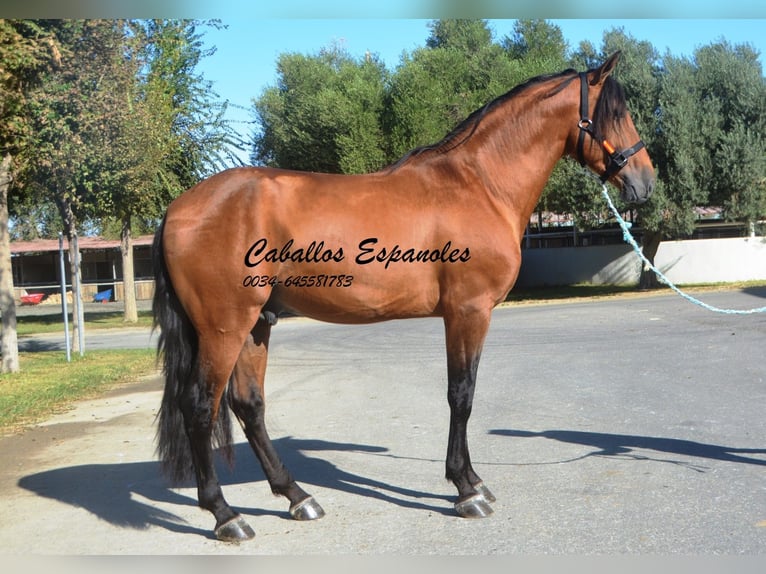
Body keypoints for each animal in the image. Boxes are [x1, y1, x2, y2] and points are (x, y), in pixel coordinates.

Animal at [153, 51, 656, 544]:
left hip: (255, 324)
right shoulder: (468, 312)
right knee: (200, 407)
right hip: (224, 327)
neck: (479, 184)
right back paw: (226, 515)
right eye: (616, 114)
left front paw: (472, 483)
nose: (645, 181)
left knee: (249, 406)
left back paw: (298, 497)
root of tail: (178, 209)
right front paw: (466, 489)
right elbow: (462, 395)